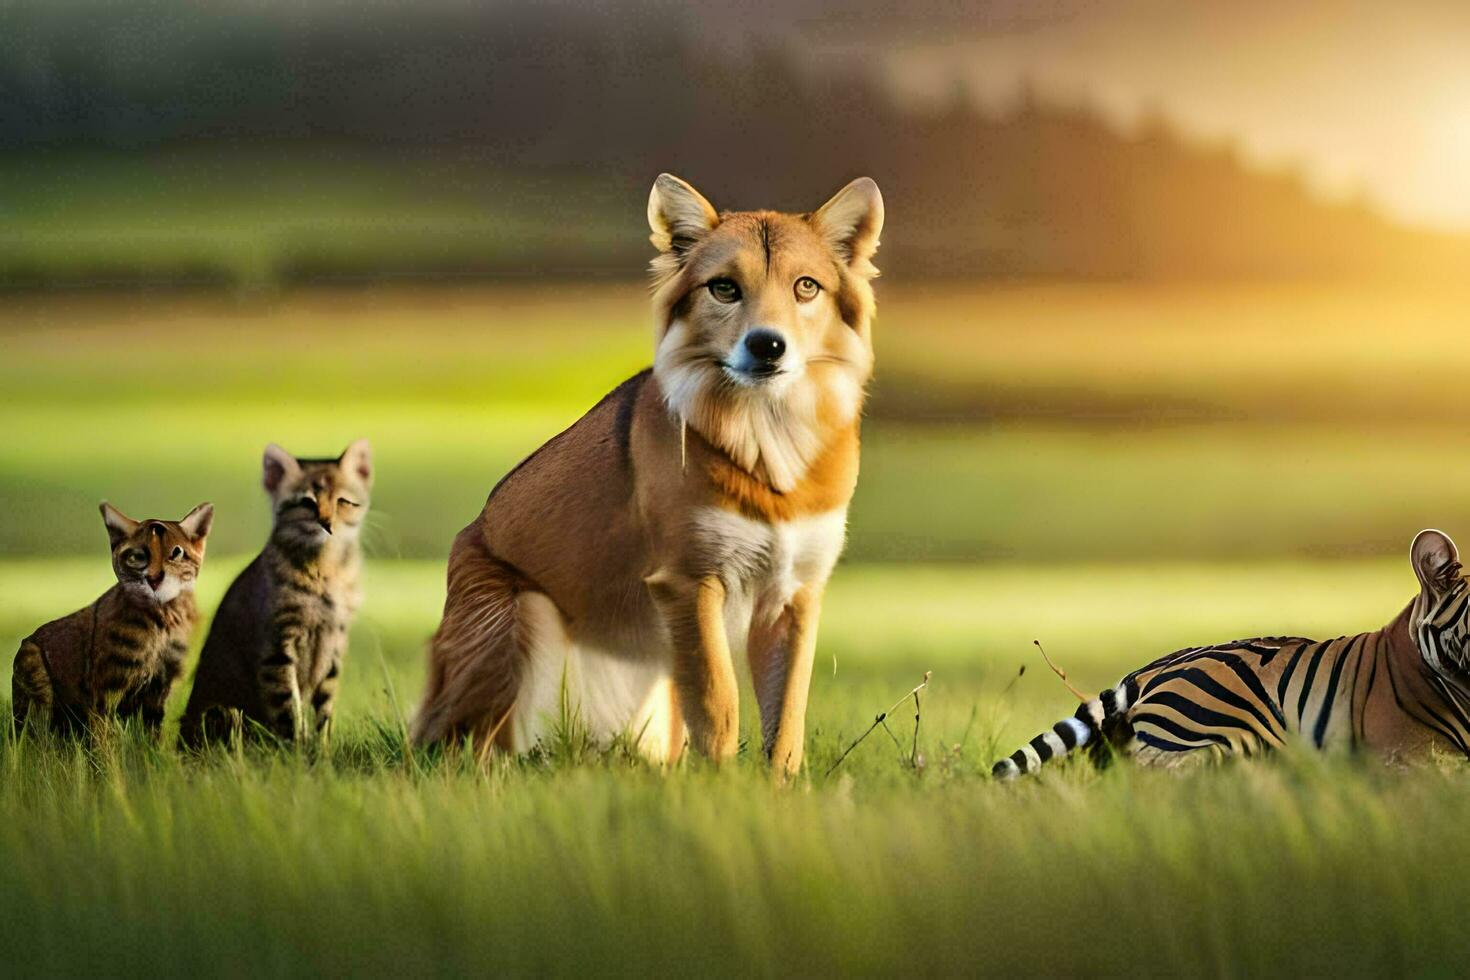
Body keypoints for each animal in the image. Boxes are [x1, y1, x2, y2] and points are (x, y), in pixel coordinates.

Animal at [12, 505, 214, 734]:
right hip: (34, 672)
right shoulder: (104, 690)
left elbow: (155, 735)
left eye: (176, 553)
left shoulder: (162, 686)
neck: (164, 620)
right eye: (137, 557)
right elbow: (105, 738)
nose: (154, 579)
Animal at [179, 440, 373, 746]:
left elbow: (324, 714)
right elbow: (289, 711)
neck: (326, 571)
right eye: (307, 502)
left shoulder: (336, 645)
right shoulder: (277, 648)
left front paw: (323, 752)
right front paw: (300, 753)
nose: (326, 524)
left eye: (343, 501)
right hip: (221, 710)